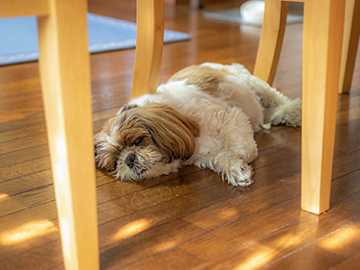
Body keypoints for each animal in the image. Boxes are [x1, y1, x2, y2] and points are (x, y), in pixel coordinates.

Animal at [94, 62, 302, 187]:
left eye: (137, 141)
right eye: (115, 160)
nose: (129, 159)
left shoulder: (228, 116)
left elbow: (242, 147)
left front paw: (242, 155)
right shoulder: (203, 157)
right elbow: (220, 157)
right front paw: (236, 168)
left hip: (255, 85)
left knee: (277, 99)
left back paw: (296, 111)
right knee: (273, 113)